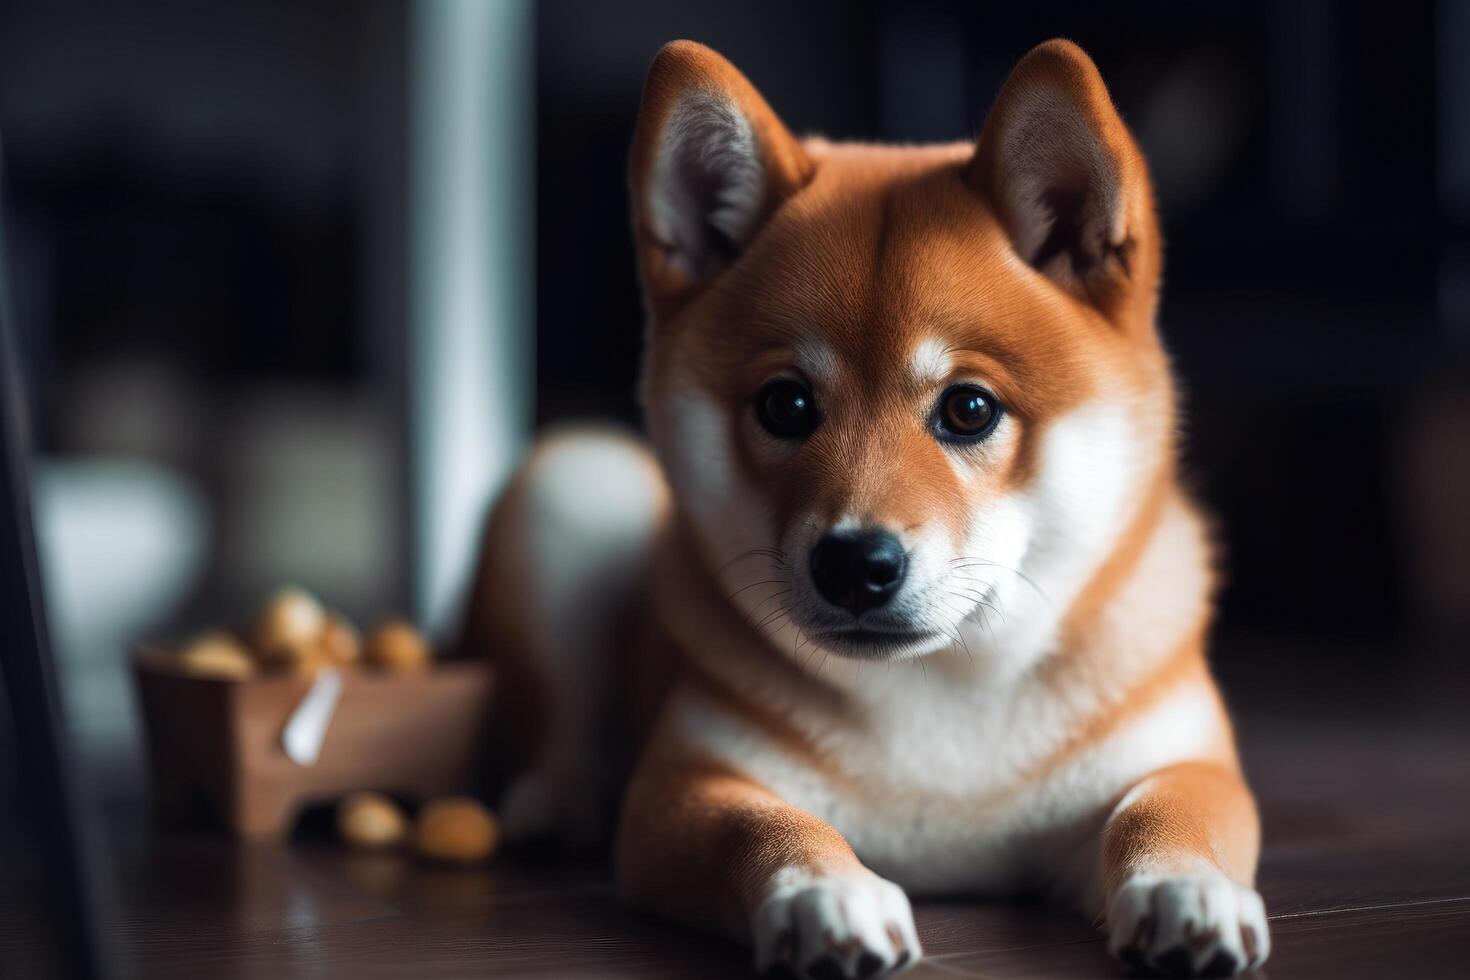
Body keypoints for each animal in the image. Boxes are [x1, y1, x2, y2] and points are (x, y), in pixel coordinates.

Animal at [464, 36, 1270, 975]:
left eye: (969, 409)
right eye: (785, 405)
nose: (854, 563)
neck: (945, 693)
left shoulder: (1179, 760)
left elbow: (1170, 815)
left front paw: (1189, 888)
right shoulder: (689, 785)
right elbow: (767, 830)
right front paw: (823, 895)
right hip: (574, 484)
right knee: (554, 718)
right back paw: (553, 803)